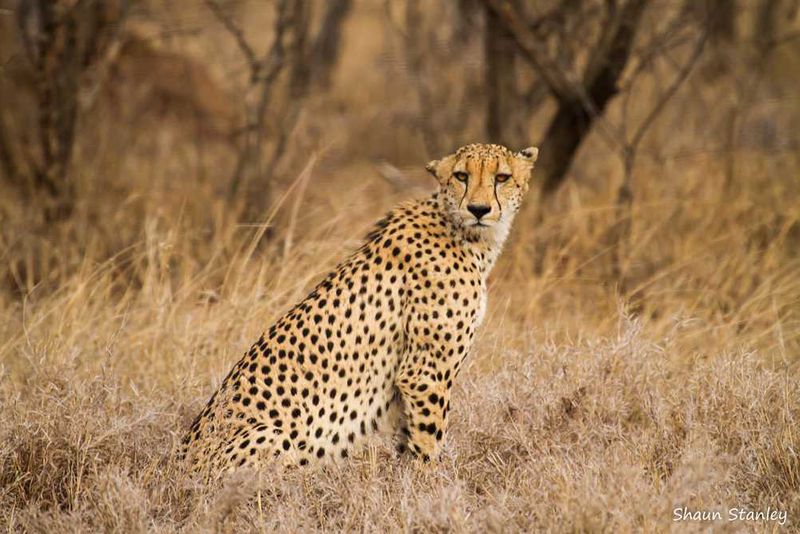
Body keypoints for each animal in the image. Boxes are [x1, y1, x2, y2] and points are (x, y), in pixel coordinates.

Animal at [180, 143, 539, 478]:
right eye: (462, 176)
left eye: (502, 177)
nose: (479, 209)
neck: (463, 232)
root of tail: (178, 466)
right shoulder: (424, 374)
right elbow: (429, 441)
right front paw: (433, 488)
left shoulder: (405, 383)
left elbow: (408, 439)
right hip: (271, 435)